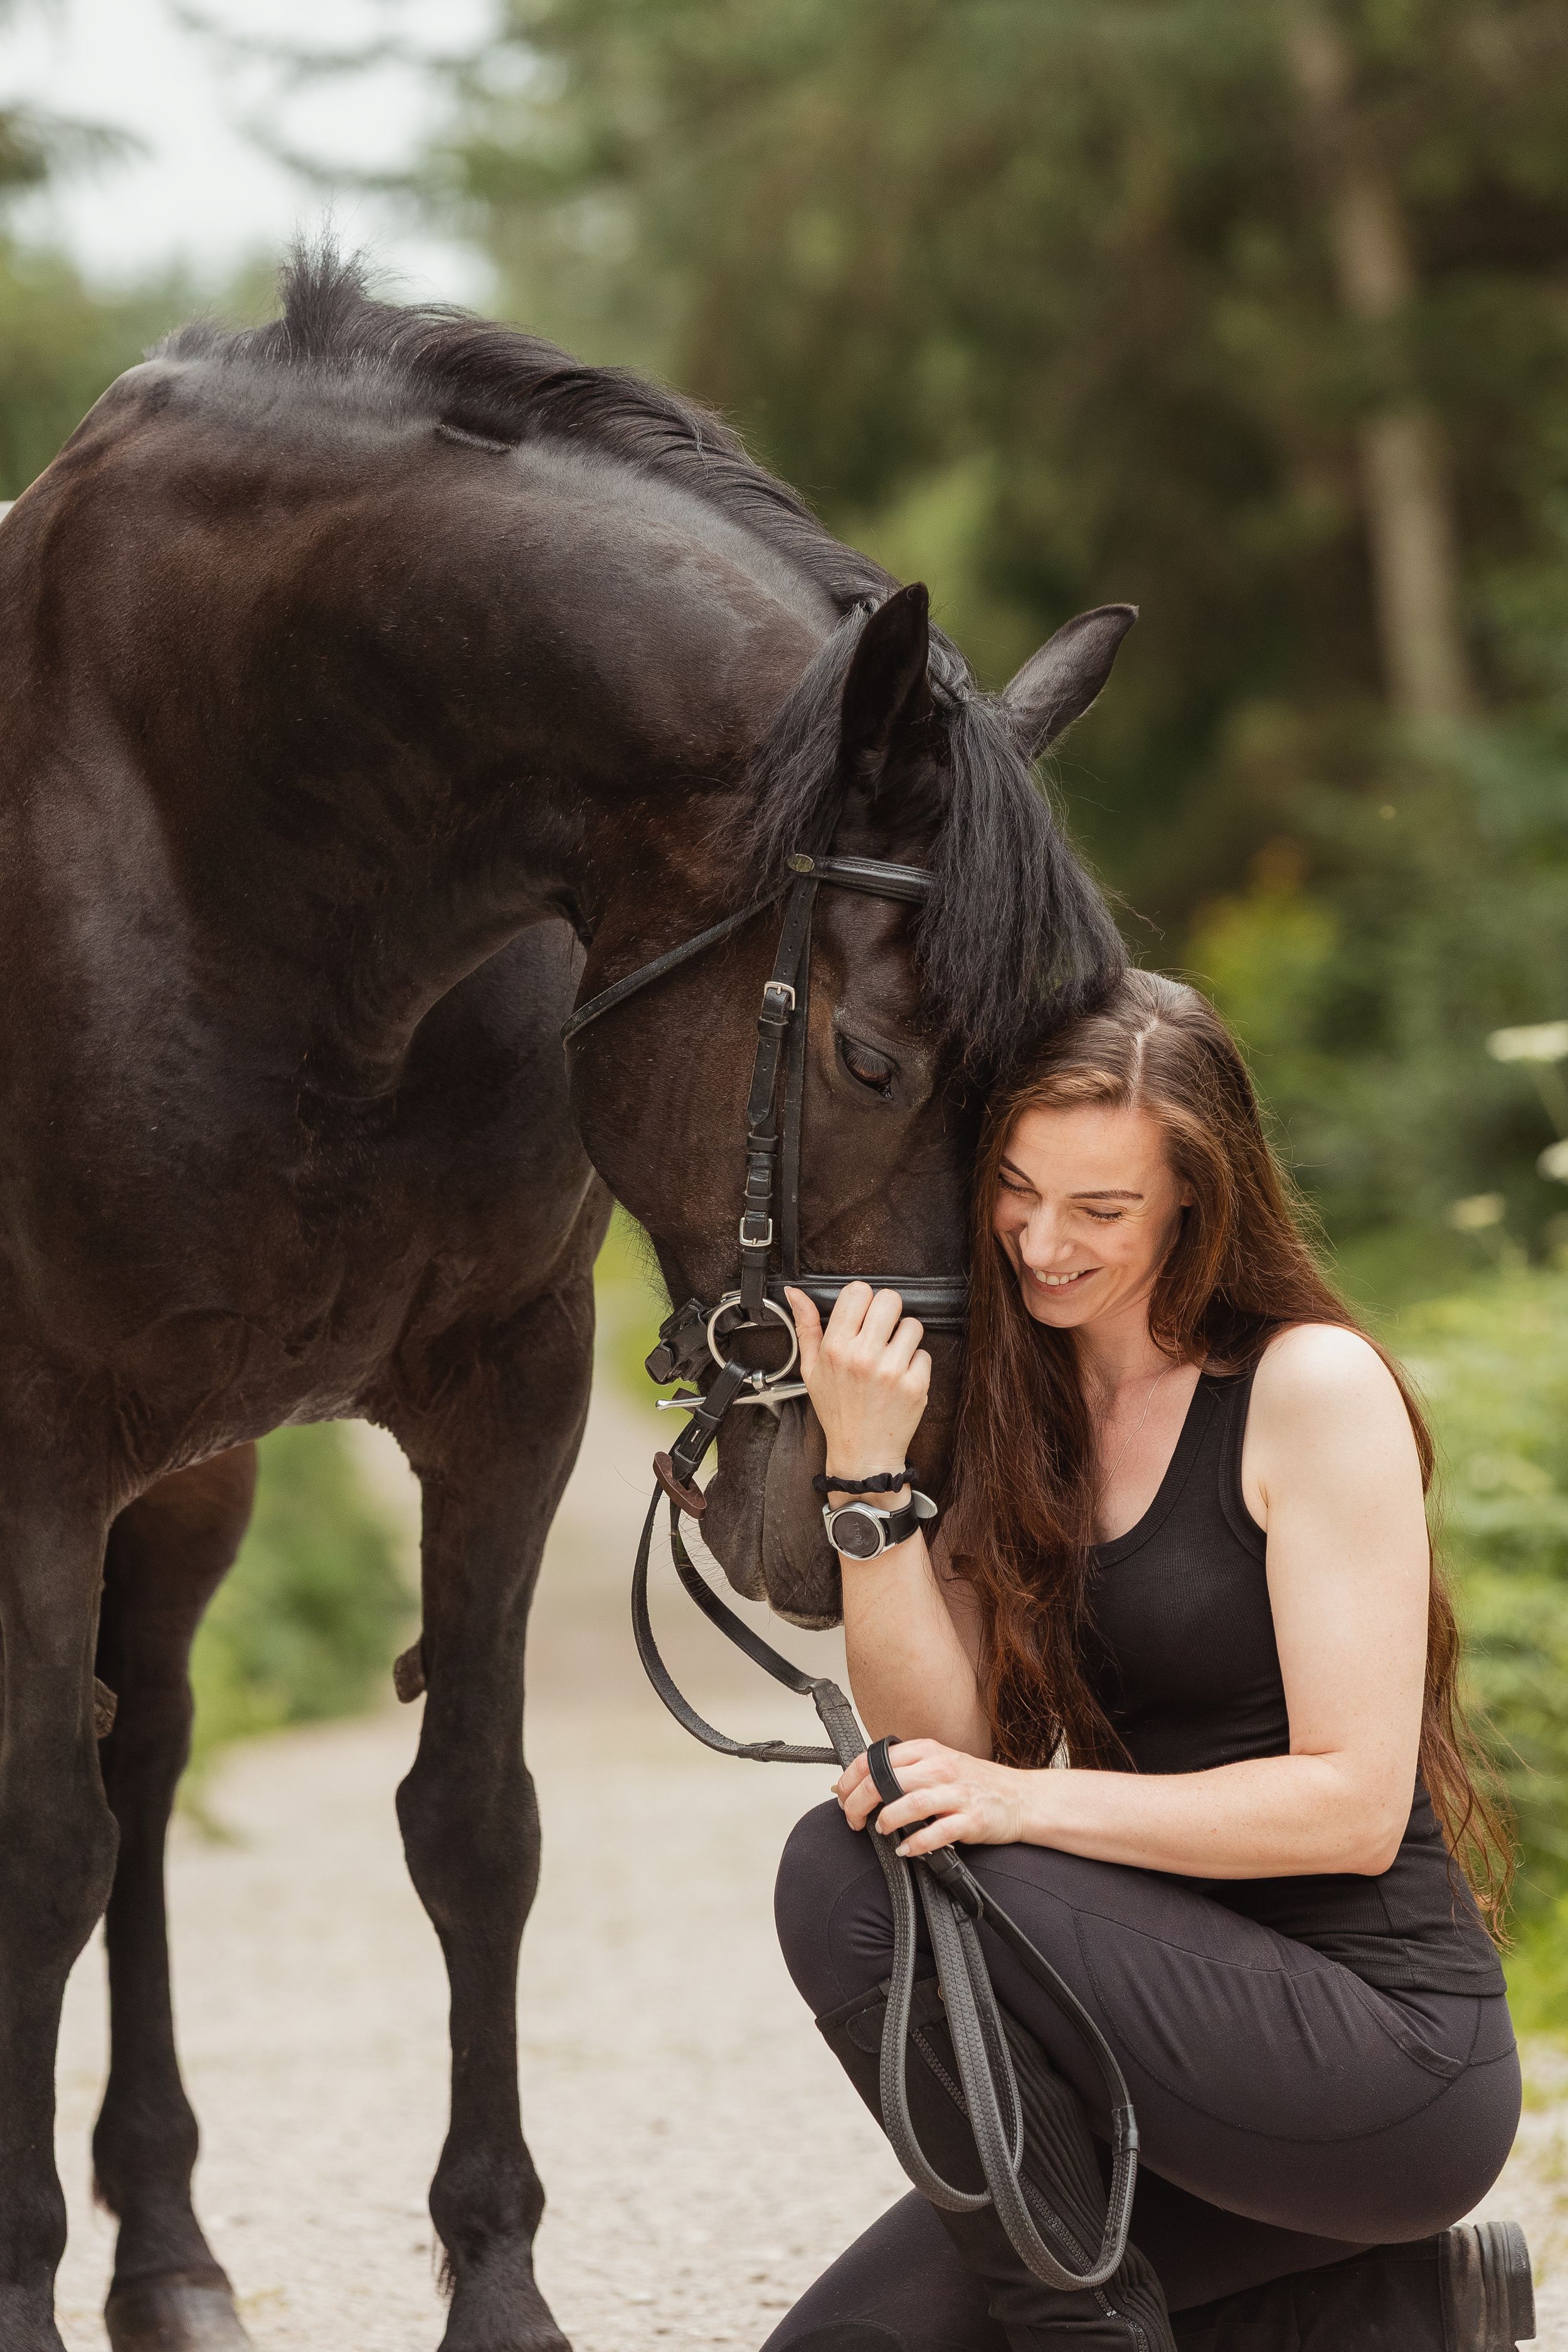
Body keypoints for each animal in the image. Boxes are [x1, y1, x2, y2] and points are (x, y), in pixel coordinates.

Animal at [0, 245, 1133, 2352]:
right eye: (866, 1055)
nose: (902, 1496)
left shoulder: (498, 1395)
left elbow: (473, 1824)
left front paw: (499, 2282)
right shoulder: (37, 1439)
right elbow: (38, 1852)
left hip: (193, 1481)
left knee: (150, 1743)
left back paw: (173, 2249)